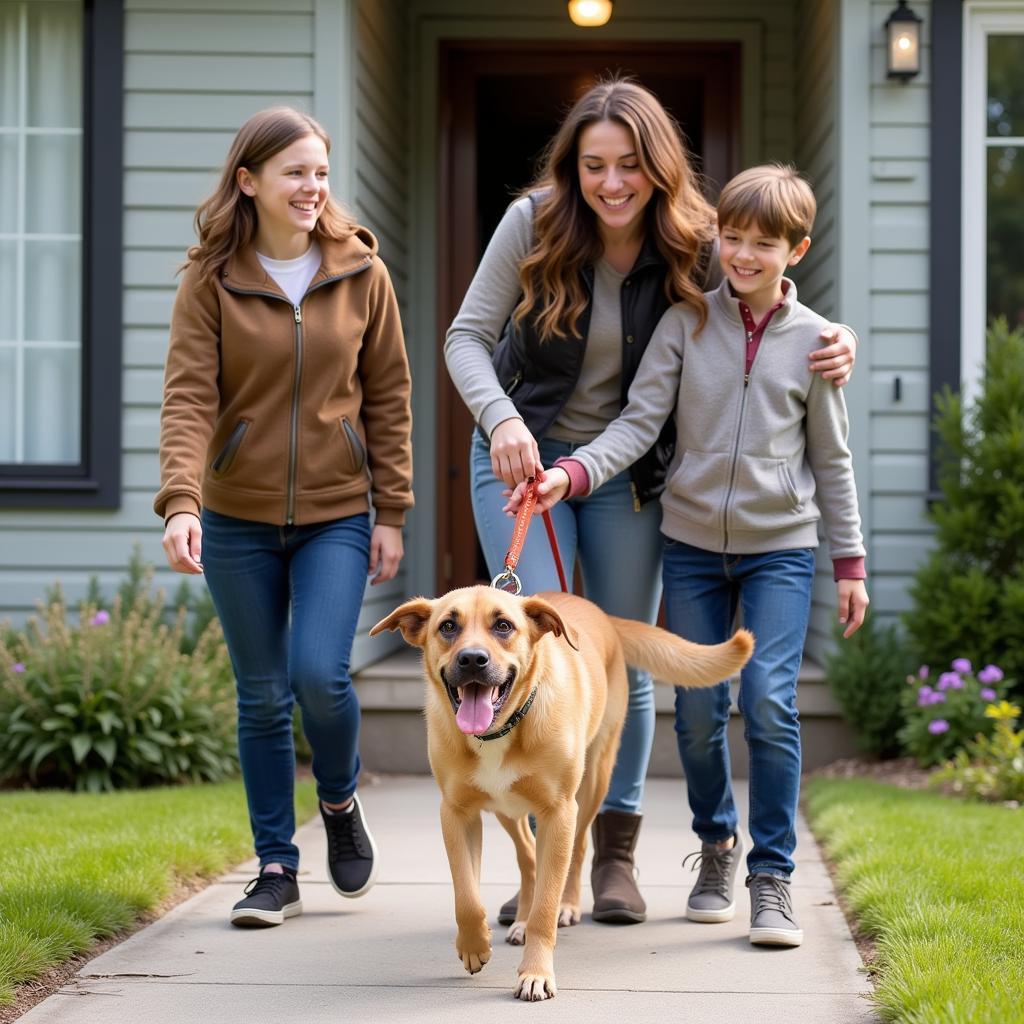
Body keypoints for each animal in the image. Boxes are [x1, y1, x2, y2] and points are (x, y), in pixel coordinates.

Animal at [372, 589, 757, 1003]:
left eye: (503, 625)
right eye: (447, 626)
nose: (472, 659)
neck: (500, 730)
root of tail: (600, 613)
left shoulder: (558, 812)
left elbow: (546, 905)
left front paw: (536, 972)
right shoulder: (456, 814)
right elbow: (467, 896)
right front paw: (475, 944)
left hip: (593, 782)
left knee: (577, 849)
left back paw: (567, 906)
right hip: (508, 808)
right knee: (528, 856)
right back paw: (520, 918)